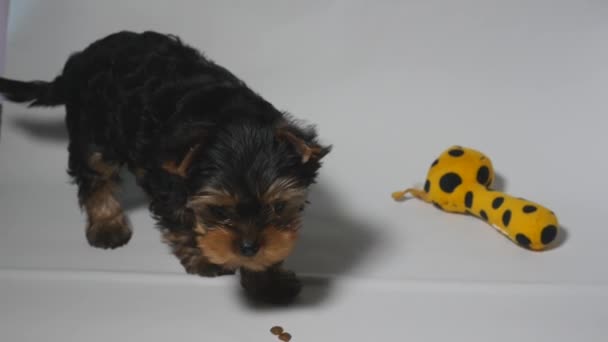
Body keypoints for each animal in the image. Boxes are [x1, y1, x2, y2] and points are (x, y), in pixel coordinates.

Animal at [0, 30, 330, 304]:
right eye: (218, 210)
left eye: (278, 207)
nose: (248, 248)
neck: (234, 121)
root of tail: (80, 60)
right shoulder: (169, 183)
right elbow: (180, 219)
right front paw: (204, 258)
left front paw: (268, 281)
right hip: (93, 131)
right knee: (95, 175)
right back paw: (107, 224)